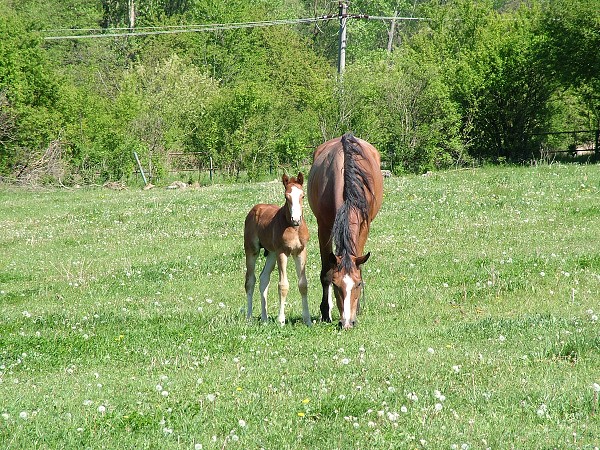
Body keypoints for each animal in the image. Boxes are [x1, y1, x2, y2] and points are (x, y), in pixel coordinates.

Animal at [244, 174, 312, 326]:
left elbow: (303, 284)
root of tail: (256, 208)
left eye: (303, 195)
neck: (294, 229)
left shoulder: (300, 251)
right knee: (250, 280)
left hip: (271, 253)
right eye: (286, 197)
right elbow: (283, 285)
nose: (296, 219)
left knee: (264, 278)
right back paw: (249, 317)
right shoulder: (282, 252)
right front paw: (281, 320)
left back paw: (264, 318)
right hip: (252, 250)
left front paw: (308, 320)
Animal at [308, 132, 382, 328]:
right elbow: (326, 272)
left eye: (358, 284)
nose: (347, 323)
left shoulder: (364, 226)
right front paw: (325, 312)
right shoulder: (323, 227)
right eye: (336, 285)